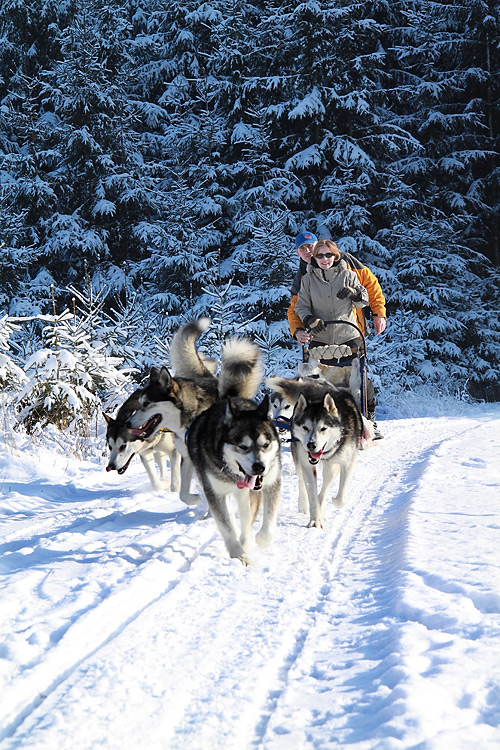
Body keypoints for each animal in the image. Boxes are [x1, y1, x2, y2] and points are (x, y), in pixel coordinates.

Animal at [127, 320, 264, 508]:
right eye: (139, 403)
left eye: (146, 404)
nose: (127, 423)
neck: (190, 416)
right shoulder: (187, 457)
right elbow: (183, 494)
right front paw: (196, 499)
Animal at [187, 396, 282, 568]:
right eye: (242, 446)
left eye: (265, 445)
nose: (259, 467)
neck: (235, 476)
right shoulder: (215, 492)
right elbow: (227, 527)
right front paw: (240, 556)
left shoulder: (270, 483)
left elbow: (266, 522)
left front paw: (259, 540)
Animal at [266, 376, 368, 528]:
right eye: (305, 427)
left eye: (323, 428)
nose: (311, 445)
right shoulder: (308, 465)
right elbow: (312, 495)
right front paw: (315, 519)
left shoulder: (347, 462)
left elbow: (340, 498)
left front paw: (329, 503)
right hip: (299, 458)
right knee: (302, 480)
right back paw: (304, 505)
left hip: (331, 467)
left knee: (326, 484)